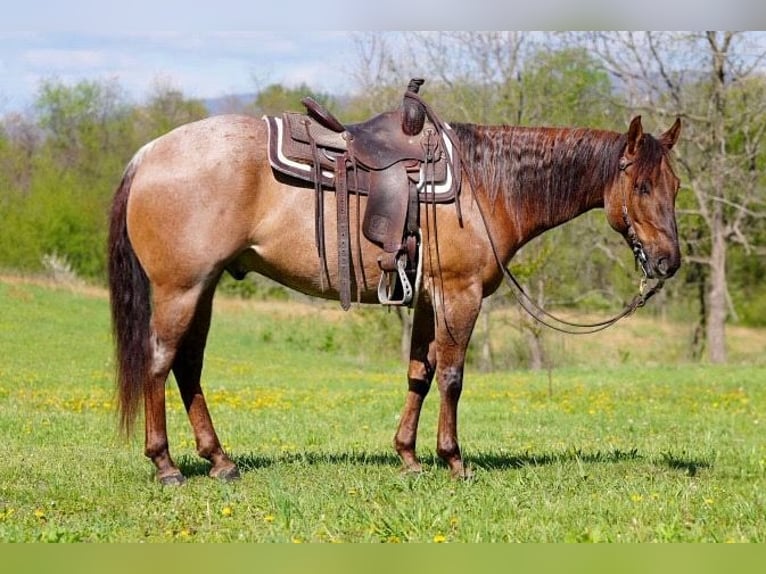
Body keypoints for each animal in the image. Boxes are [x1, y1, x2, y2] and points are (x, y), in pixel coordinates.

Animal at [108, 105, 681, 485]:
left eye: (674, 187)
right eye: (642, 187)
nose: (668, 262)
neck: (485, 185)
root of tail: (147, 154)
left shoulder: (427, 298)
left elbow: (419, 375)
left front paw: (408, 456)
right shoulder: (459, 294)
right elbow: (452, 377)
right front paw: (453, 459)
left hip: (203, 289)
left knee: (188, 366)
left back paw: (221, 461)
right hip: (181, 290)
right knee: (160, 363)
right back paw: (165, 465)